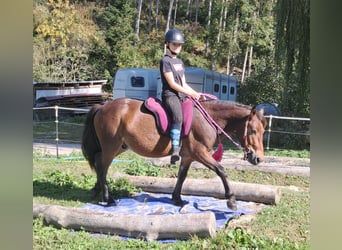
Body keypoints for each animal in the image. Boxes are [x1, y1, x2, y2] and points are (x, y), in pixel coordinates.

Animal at [81, 96, 266, 210]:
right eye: (253, 131)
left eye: (263, 131)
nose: (258, 158)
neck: (208, 119)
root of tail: (102, 107)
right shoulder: (200, 153)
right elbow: (221, 171)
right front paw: (231, 200)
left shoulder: (188, 156)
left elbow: (182, 176)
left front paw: (177, 199)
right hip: (111, 146)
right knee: (102, 167)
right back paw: (108, 198)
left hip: (119, 146)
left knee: (99, 162)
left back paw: (97, 190)